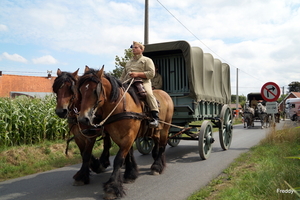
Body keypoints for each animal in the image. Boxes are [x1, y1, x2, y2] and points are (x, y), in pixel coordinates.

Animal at [77, 66, 173, 199]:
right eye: (81, 90)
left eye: (95, 90)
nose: (82, 118)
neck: (119, 107)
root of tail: (166, 94)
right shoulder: (118, 137)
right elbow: (127, 155)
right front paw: (130, 174)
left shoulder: (128, 137)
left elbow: (118, 159)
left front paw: (112, 188)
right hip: (155, 131)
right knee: (158, 143)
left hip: (165, 128)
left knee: (163, 145)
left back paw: (157, 167)